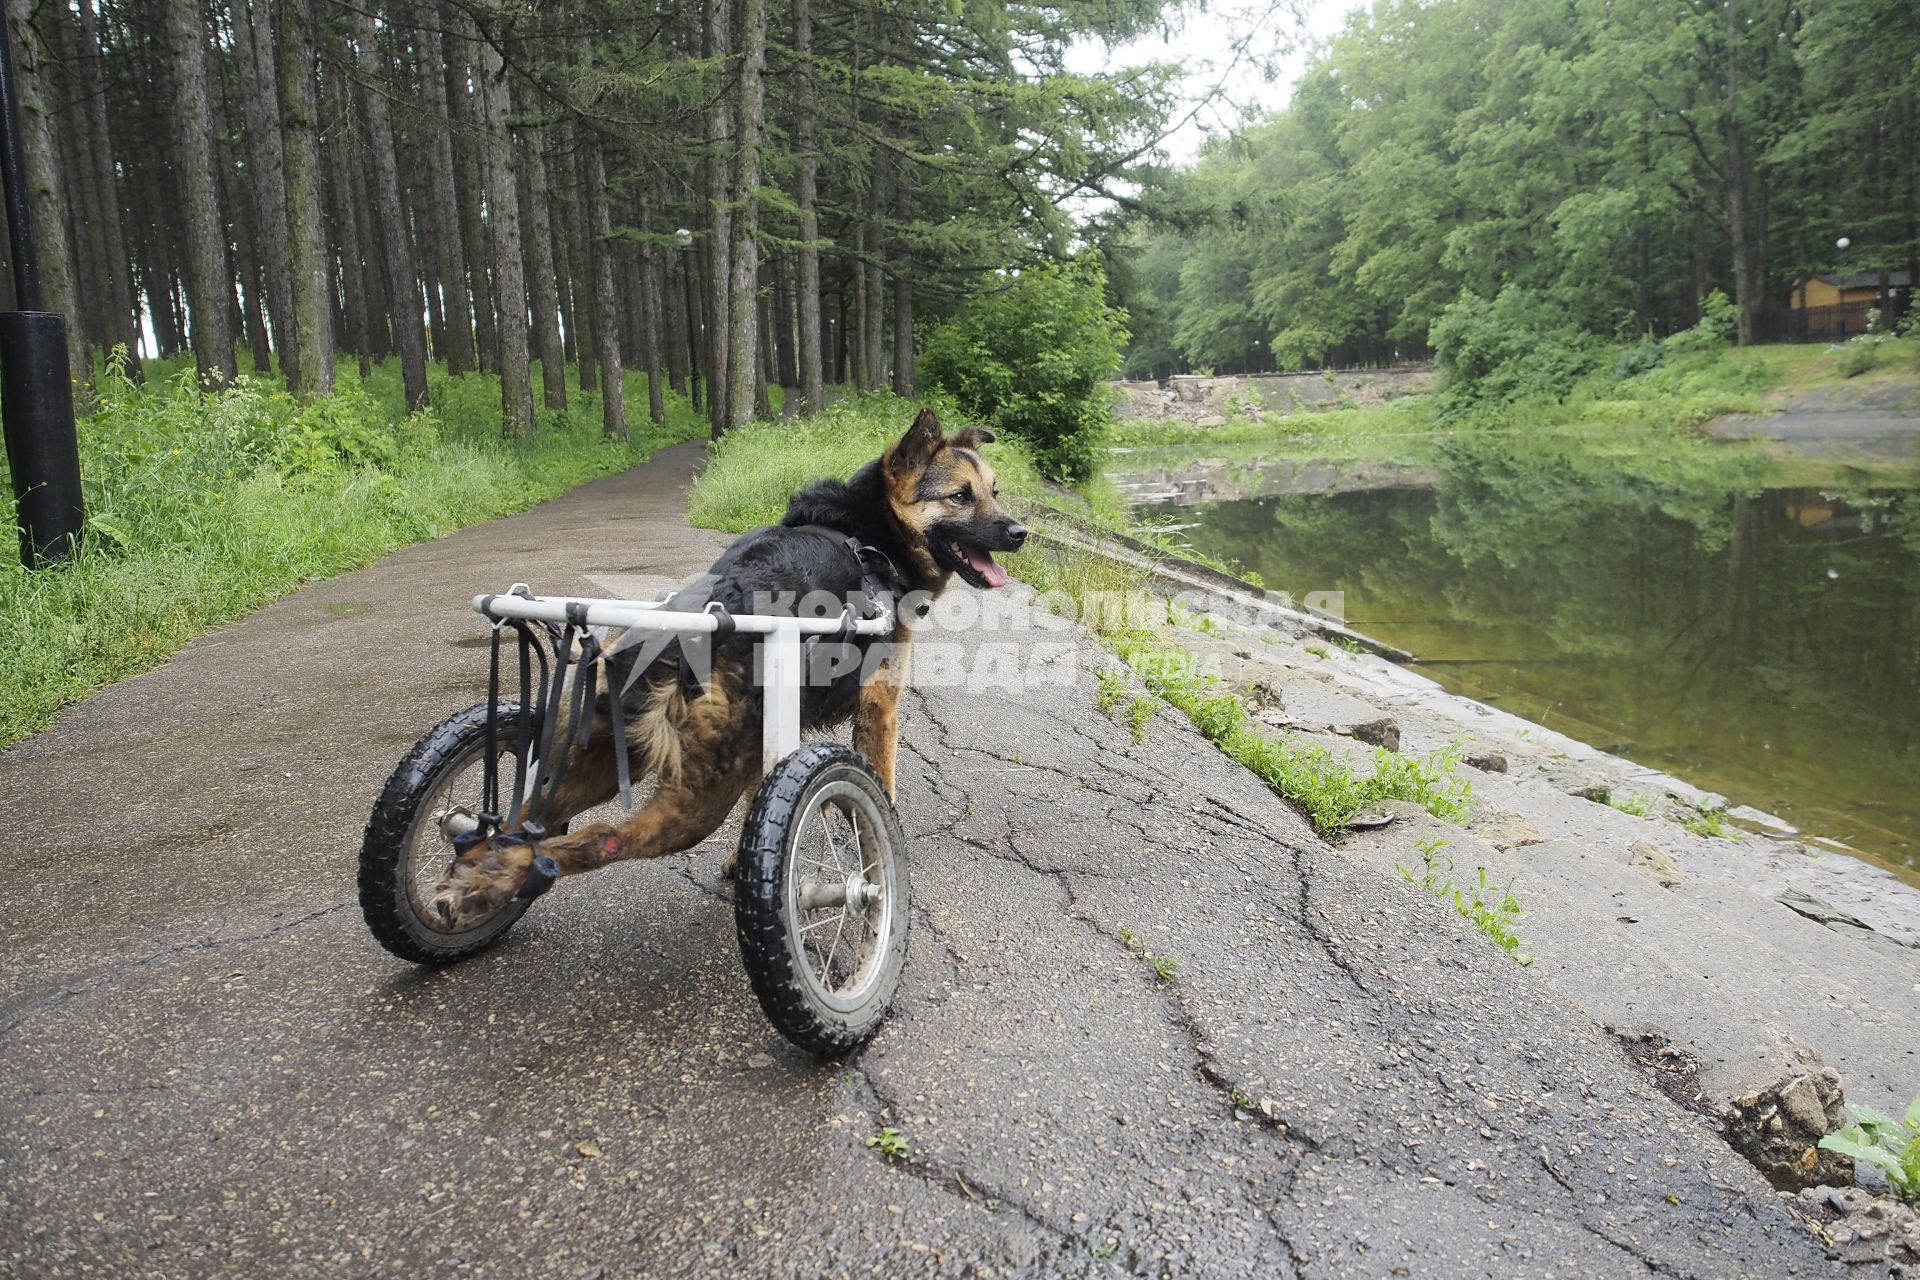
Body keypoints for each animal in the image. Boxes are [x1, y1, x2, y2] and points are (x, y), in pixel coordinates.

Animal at [433, 404, 1029, 924]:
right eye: (961, 497)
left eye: (995, 493)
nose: (1020, 532)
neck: (870, 535)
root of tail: (668, 639)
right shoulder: (879, 707)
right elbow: (881, 792)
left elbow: (758, 805)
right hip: (695, 797)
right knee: (604, 837)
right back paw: (500, 876)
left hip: (593, 757)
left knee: (517, 819)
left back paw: (479, 874)